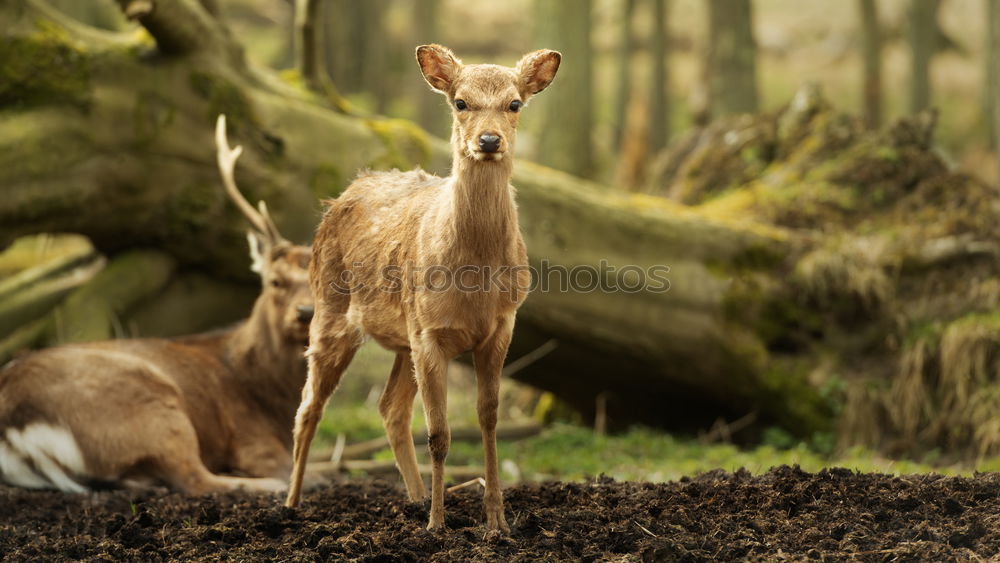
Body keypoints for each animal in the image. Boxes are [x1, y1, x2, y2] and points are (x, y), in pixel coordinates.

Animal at [0, 117, 312, 496]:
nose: (306, 313)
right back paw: (267, 485)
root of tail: (13, 427)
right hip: (150, 405)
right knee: (194, 477)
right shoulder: (251, 438)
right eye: (275, 281)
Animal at [286, 44, 560, 532]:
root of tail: (341, 194)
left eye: (515, 104)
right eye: (460, 102)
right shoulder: (429, 332)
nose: (488, 141)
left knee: (390, 410)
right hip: (331, 308)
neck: (473, 277)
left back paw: (413, 499)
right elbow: (438, 432)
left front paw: (496, 521)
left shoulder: (501, 327)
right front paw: (437, 525)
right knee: (308, 409)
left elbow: (488, 420)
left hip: (401, 339)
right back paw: (291, 505)